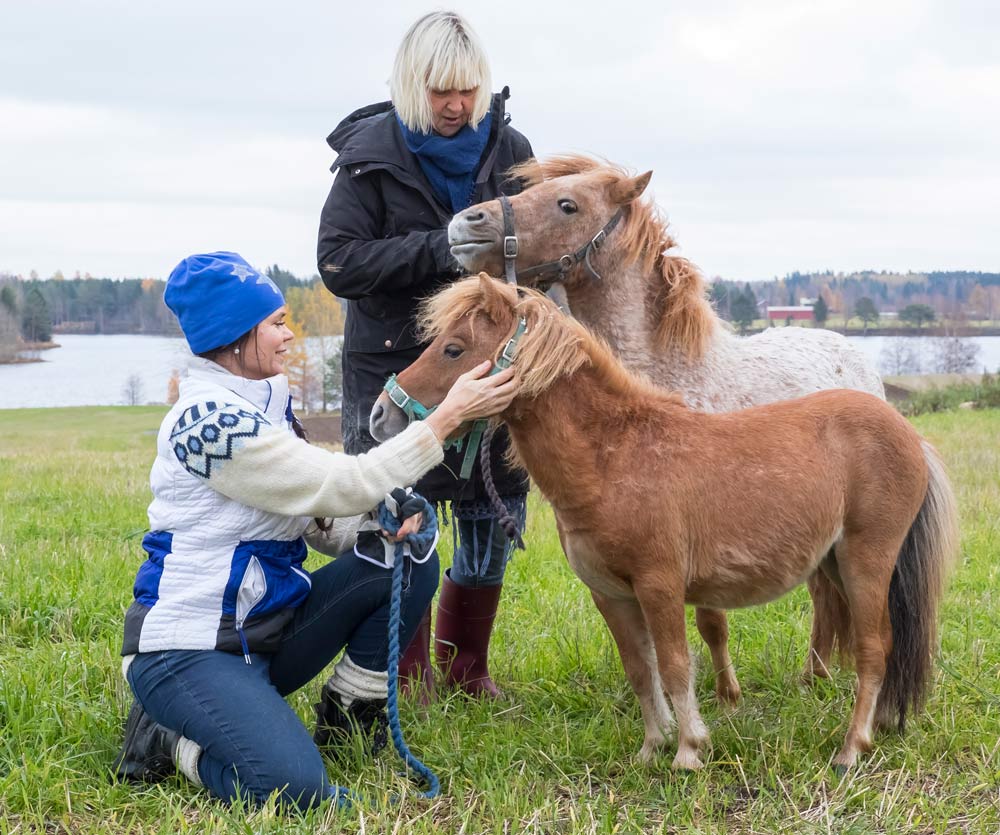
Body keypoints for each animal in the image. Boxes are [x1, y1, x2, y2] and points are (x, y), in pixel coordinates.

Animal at [372, 278, 956, 772]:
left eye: (453, 348)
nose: (382, 416)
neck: (613, 459)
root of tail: (906, 432)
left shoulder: (660, 586)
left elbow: (675, 666)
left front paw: (689, 751)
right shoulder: (612, 595)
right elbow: (641, 670)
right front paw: (653, 748)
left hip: (866, 561)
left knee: (873, 647)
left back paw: (851, 748)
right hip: (835, 562)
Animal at [450, 153, 888, 704]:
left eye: (567, 204)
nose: (464, 223)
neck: (663, 379)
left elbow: (711, 622)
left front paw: (727, 697)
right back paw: (815, 674)